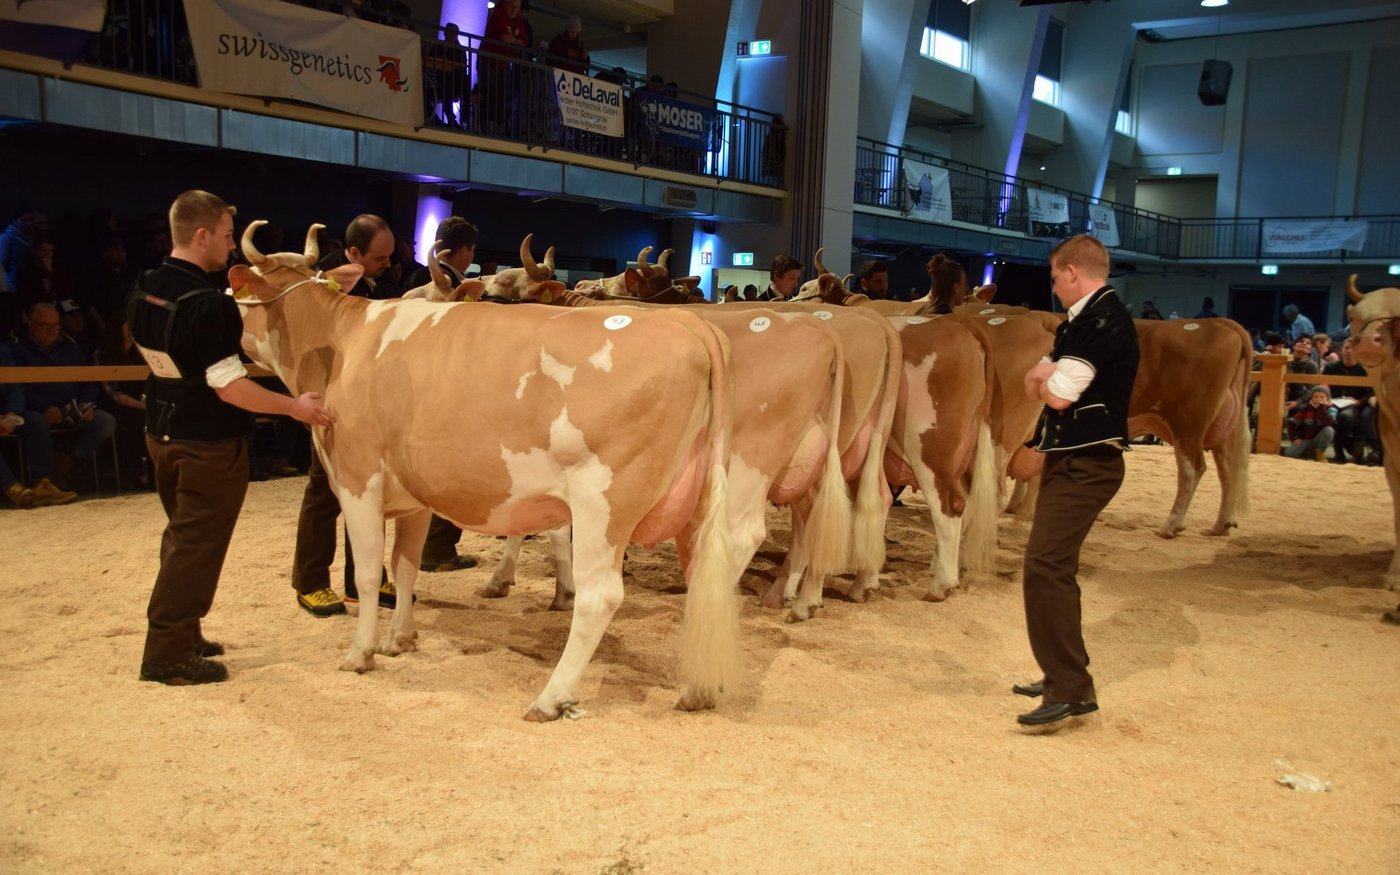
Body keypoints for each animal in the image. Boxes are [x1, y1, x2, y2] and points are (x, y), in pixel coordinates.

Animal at [230, 222, 741, 721]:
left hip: (605, 500)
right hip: (697, 504)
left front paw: (361, 653)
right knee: (706, 585)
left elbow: (370, 573)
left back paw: (551, 697)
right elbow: (406, 565)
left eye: (237, 293)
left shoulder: (359, 479)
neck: (344, 343)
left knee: (602, 596)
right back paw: (697, 690)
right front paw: (401, 639)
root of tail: (688, 325)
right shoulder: (416, 495)